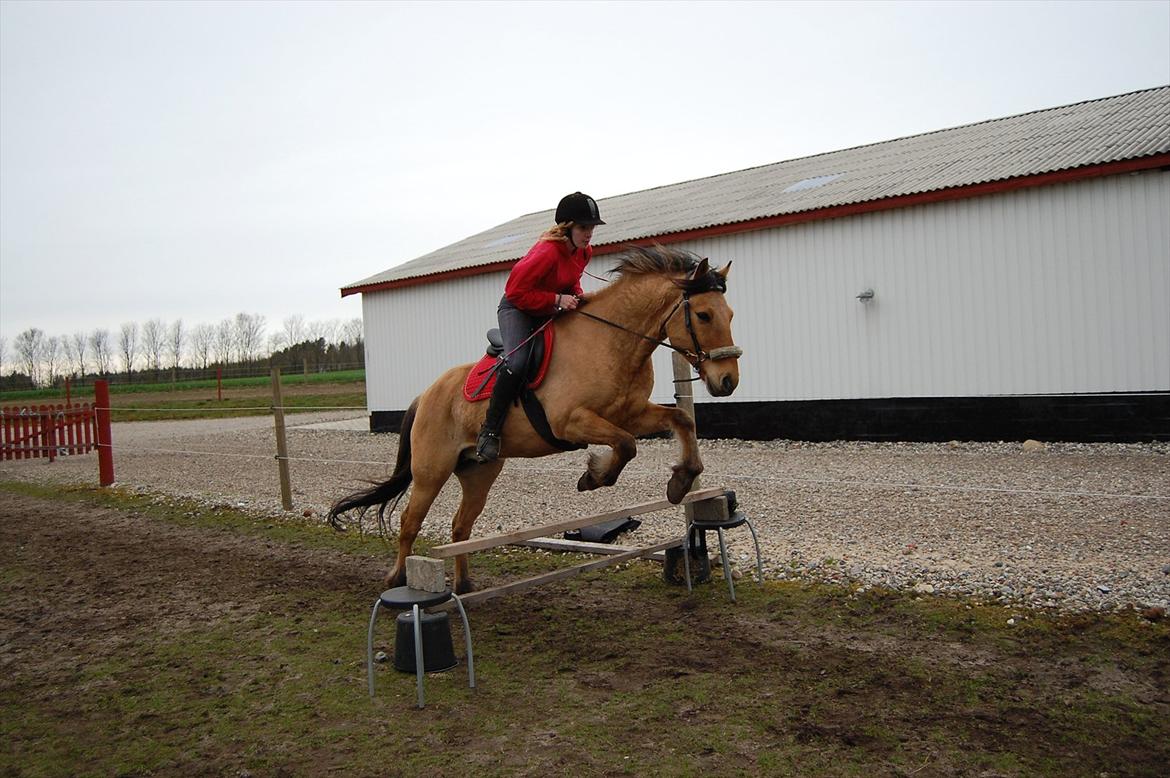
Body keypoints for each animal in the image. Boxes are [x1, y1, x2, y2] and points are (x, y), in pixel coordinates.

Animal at [329, 245, 744, 591]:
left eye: (730, 315)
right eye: (703, 315)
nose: (727, 381)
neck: (613, 343)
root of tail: (426, 394)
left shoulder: (632, 414)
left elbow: (680, 421)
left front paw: (681, 481)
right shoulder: (572, 422)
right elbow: (625, 446)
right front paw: (594, 476)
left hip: (478, 472)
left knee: (461, 526)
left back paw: (464, 586)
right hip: (432, 470)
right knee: (409, 523)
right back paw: (398, 581)